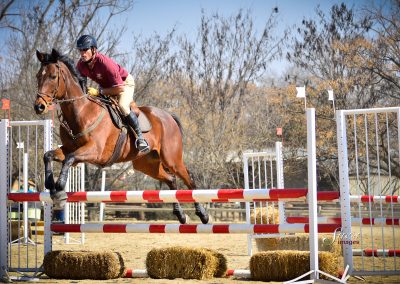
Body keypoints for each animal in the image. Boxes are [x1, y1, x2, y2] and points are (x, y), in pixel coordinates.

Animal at [33, 49, 209, 226]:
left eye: (53, 76)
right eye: (38, 76)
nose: (39, 106)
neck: (82, 111)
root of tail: (168, 116)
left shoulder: (95, 151)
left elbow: (68, 159)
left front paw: (60, 188)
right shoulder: (71, 149)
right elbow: (48, 155)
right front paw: (50, 184)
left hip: (172, 159)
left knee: (188, 179)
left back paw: (202, 214)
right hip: (146, 164)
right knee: (171, 179)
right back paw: (180, 215)